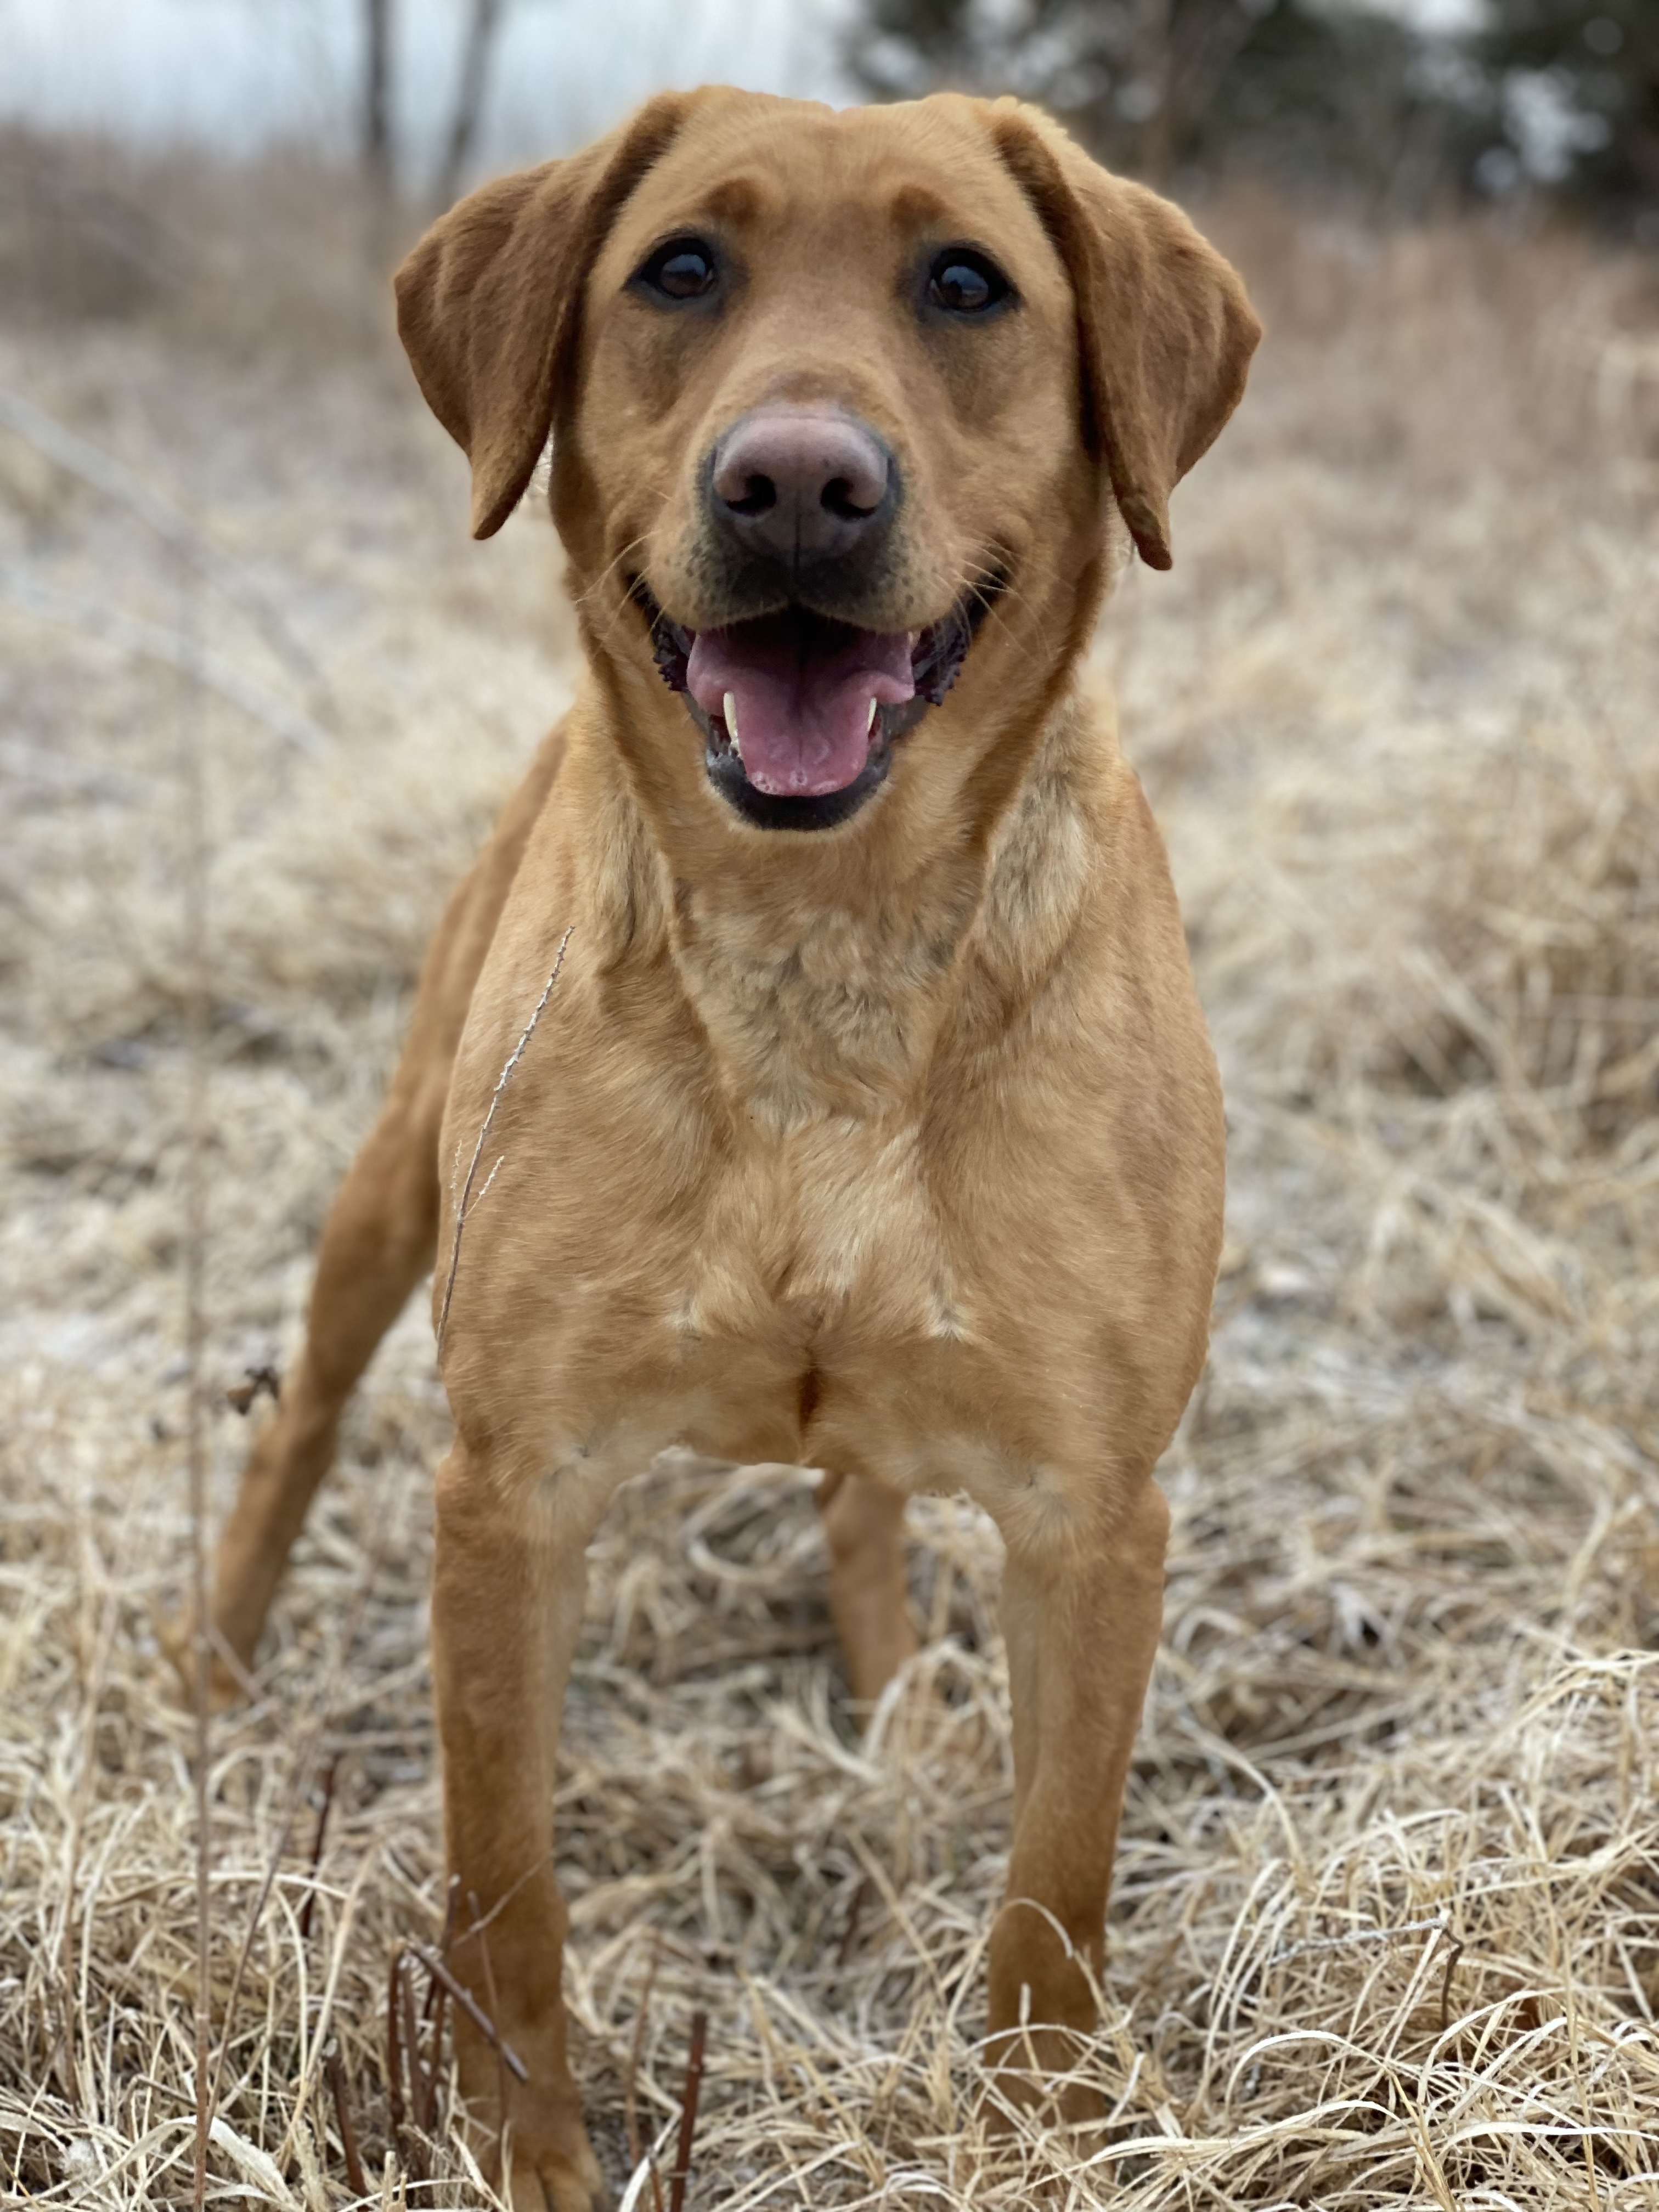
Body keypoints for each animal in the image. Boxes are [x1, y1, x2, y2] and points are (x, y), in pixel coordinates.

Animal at [198, 86, 1256, 2212]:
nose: (791, 488)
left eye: (967, 285)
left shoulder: (1096, 1515)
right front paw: (524, 2151)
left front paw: (1033, 2138)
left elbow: (1053, 1896)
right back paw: (210, 1667)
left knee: (859, 1497)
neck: (819, 957)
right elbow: (506, 1892)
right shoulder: (511, 1494)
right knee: (302, 1417)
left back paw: (893, 1691)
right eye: (679, 268)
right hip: (387, 1188)